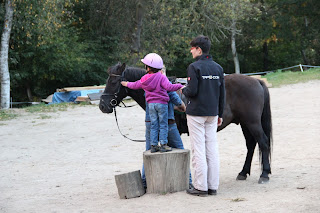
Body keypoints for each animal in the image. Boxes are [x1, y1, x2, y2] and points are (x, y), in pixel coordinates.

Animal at [100, 62, 272, 184]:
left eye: (114, 82)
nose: (102, 105)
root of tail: (257, 81)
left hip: (252, 123)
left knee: (263, 142)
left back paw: (264, 174)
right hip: (245, 123)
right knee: (251, 145)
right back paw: (243, 173)